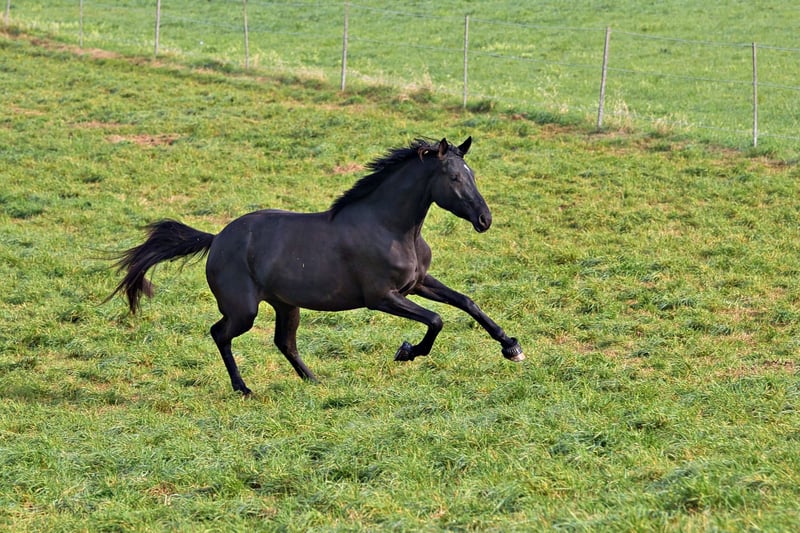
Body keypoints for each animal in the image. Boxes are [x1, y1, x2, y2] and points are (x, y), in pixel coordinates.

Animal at [109, 137, 524, 395]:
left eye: (472, 175)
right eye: (453, 177)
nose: (485, 219)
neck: (390, 227)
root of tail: (217, 239)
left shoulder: (418, 282)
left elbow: (466, 302)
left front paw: (512, 347)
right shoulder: (382, 297)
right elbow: (436, 320)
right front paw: (406, 352)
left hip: (285, 304)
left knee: (284, 342)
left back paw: (313, 380)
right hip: (244, 310)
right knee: (220, 334)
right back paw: (244, 388)